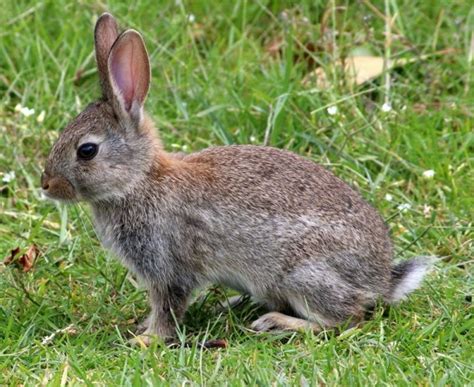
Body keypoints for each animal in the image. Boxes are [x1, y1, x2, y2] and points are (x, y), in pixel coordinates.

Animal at [40, 12, 434, 346]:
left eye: (86, 151)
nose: (46, 184)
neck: (139, 182)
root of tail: (382, 280)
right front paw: (142, 329)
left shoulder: (170, 267)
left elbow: (169, 307)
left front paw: (146, 340)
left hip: (304, 274)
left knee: (347, 317)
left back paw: (276, 322)